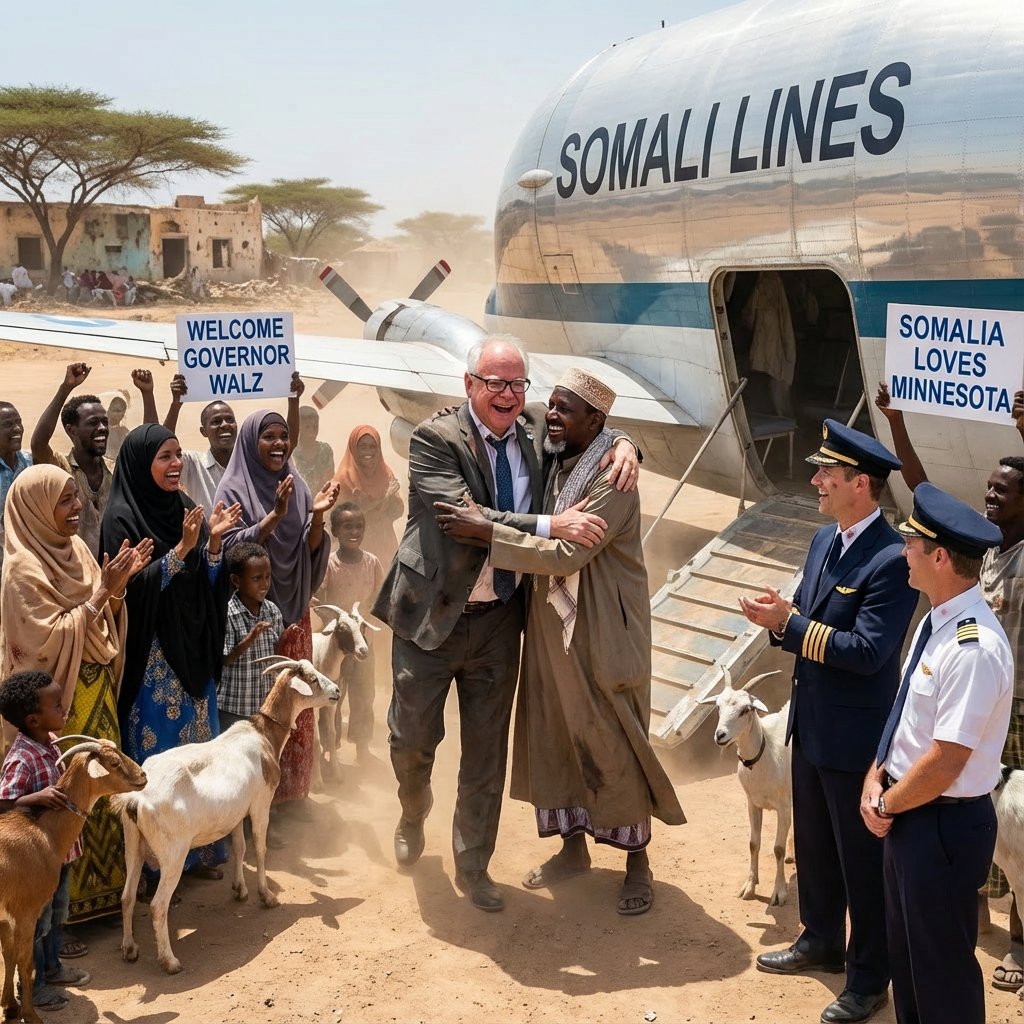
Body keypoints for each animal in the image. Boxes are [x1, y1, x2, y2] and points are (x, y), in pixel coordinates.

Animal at [0, 738, 146, 1024]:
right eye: (114, 762)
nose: (143, 776)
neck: (42, 832)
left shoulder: (5, 917)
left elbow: (9, 957)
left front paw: (10, 1006)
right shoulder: (25, 911)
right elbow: (25, 961)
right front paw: (31, 1015)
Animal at [113, 658, 340, 975]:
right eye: (312, 679)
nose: (338, 691)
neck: (263, 734)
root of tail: (137, 799)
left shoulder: (235, 814)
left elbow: (240, 849)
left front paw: (239, 890)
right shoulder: (260, 804)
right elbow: (259, 847)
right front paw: (266, 896)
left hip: (133, 844)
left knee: (127, 897)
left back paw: (130, 949)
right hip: (173, 853)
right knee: (158, 905)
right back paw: (169, 961)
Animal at [309, 602, 377, 787]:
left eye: (362, 627)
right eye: (342, 628)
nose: (363, 651)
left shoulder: (331, 705)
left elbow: (331, 735)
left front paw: (337, 774)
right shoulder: (312, 706)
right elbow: (315, 740)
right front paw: (316, 781)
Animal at [699, 669, 792, 908]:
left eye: (746, 709)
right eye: (718, 707)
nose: (720, 735)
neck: (766, 752)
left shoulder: (783, 807)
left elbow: (777, 849)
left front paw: (779, 892)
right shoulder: (752, 803)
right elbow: (753, 843)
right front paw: (749, 886)